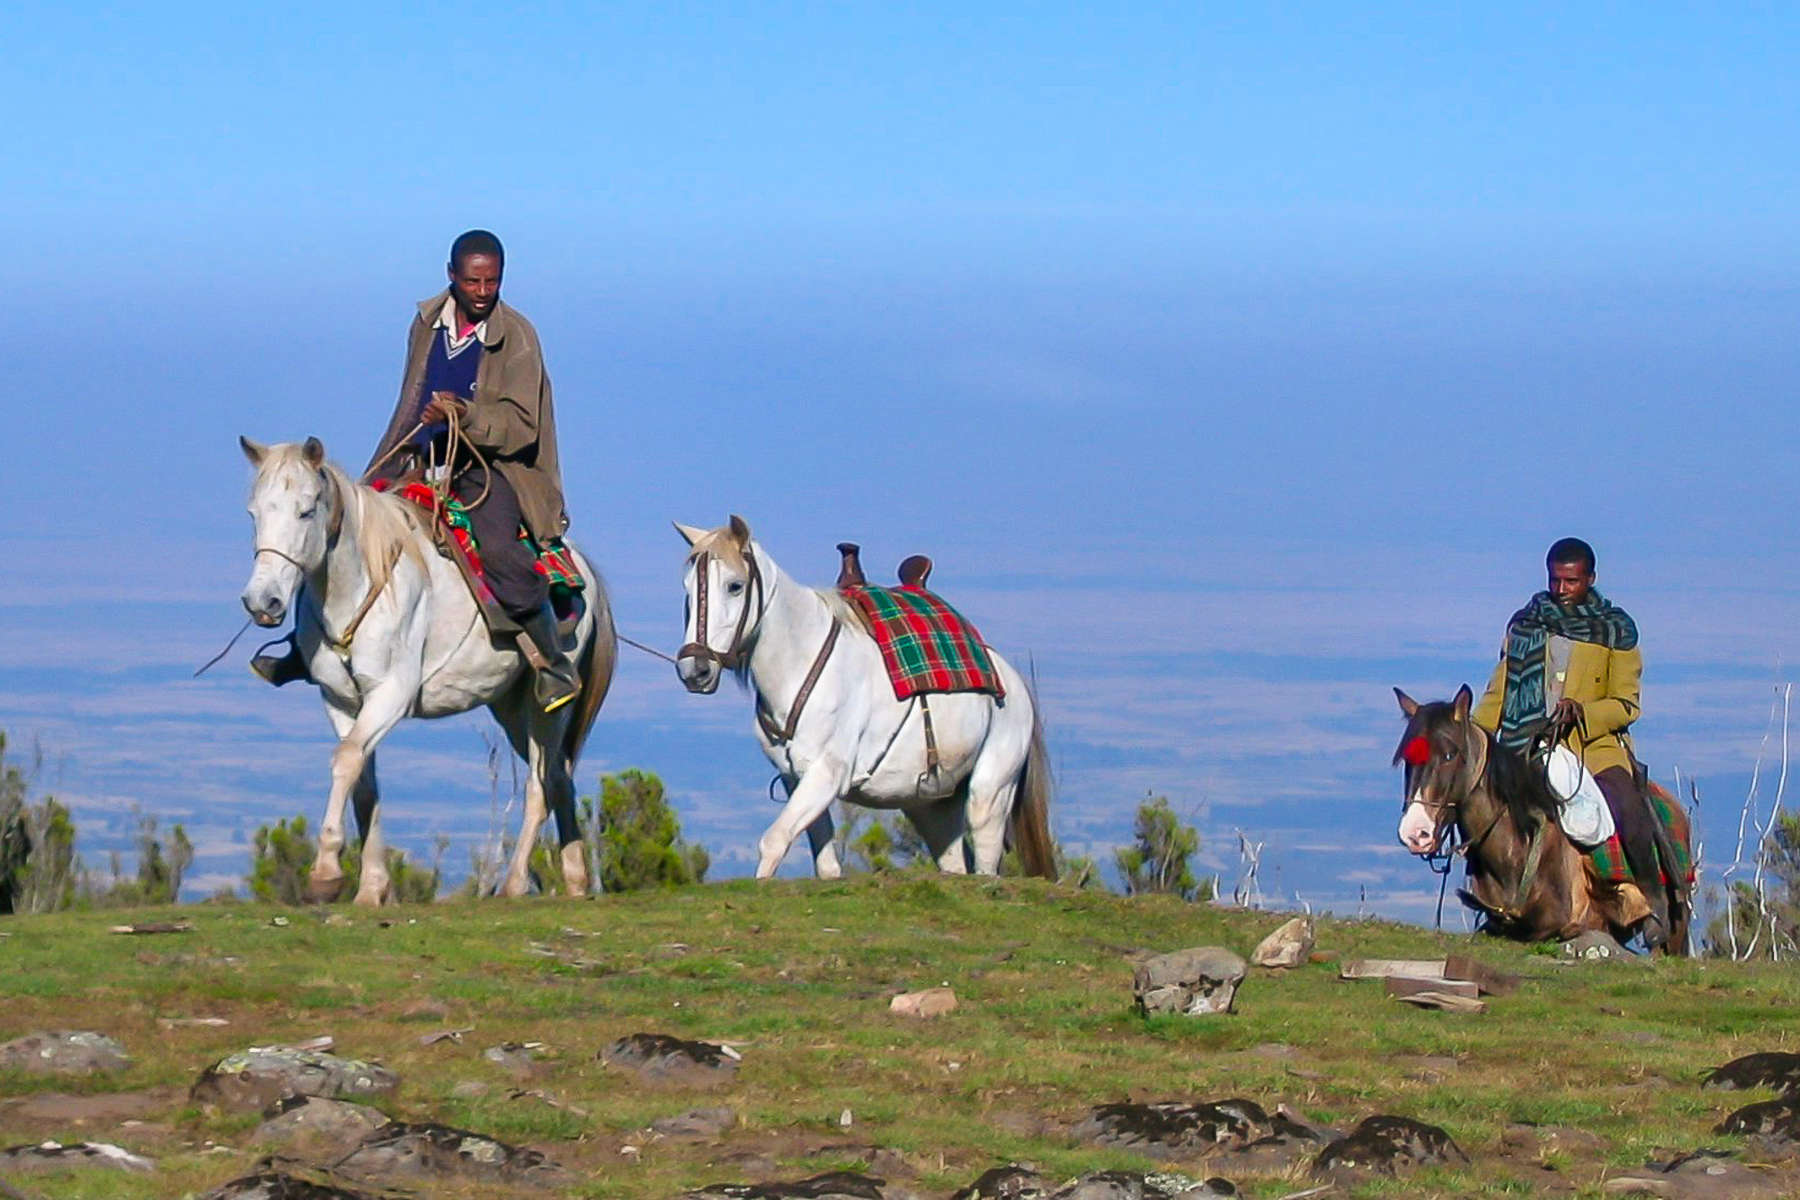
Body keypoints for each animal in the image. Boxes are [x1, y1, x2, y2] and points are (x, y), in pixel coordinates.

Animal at [241, 437, 619, 906]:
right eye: (254, 512)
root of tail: (582, 568)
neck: (360, 582)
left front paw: (325, 874)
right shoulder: (341, 700)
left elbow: (346, 760)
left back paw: (514, 884)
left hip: (547, 709)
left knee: (540, 782)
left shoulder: (390, 694)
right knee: (560, 779)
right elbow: (363, 782)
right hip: (511, 710)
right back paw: (575, 880)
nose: (262, 602)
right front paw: (372, 888)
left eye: (307, 510)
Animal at [673, 518, 1051, 881]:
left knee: (986, 855)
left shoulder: (826, 774)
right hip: (933, 805)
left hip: (991, 790)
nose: (696, 670)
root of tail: (1011, 680)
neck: (801, 662)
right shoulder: (796, 779)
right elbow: (825, 864)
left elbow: (774, 841)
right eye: (688, 589)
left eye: (735, 586)